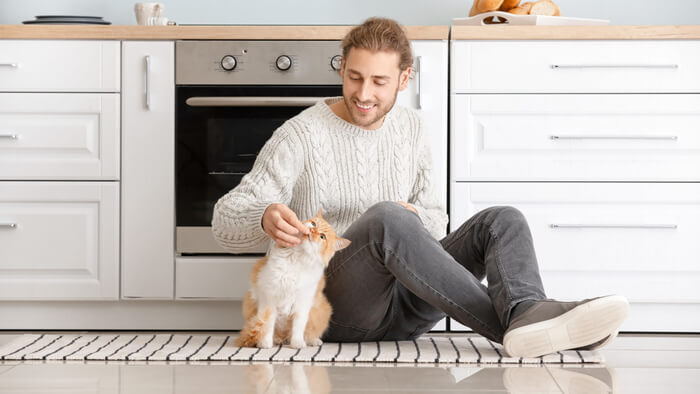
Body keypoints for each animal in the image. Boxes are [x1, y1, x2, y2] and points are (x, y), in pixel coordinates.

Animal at [235, 209, 350, 348]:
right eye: (313, 224)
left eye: (322, 237)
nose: (312, 231)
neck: (297, 257)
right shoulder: (268, 298)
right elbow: (267, 325)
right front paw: (265, 343)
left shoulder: (302, 303)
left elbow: (298, 327)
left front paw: (297, 343)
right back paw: (277, 340)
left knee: (308, 333)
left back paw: (313, 341)